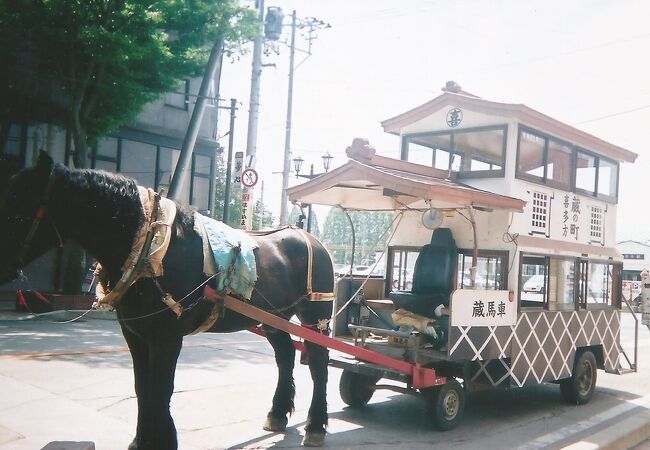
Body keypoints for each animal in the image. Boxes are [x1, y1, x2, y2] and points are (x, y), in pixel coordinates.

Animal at [0, 152, 332, 450]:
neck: (147, 246)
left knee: (318, 362)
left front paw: (161, 439)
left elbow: (161, 389)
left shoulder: (167, 335)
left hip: (314, 315)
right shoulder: (134, 332)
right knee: (285, 356)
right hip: (276, 317)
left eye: (17, 207)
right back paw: (277, 413)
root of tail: (311, 239)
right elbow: (142, 386)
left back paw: (315, 425)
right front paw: (141, 440)